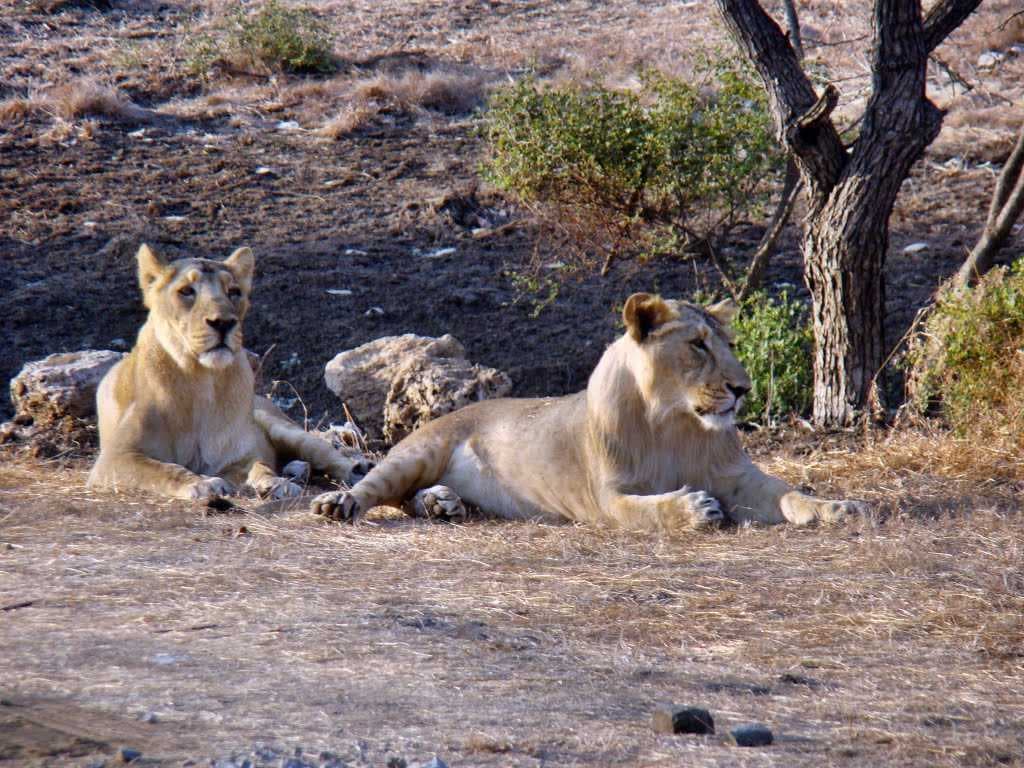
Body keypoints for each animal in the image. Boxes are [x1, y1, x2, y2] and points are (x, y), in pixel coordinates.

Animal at [87, 244, 369, 501]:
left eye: (233, 292)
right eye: (186, 291)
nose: (223, 322)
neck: (200, 380)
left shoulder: (241, 455)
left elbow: (260, 465)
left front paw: (275, 483)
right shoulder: (114, 459)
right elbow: (164, 469)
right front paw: (202, 484)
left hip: (280, 426)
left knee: (327, 455)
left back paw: (350, 472)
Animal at [310, 293, 866, 530]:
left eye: (727, 343)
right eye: (697, 345)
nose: (742, 388)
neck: (673, 422)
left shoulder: (738, 477)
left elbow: (789, 493)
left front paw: (837, 508)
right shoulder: (606, 498)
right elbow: (650, 510)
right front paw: (693, 509)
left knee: (408, 499)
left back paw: (442, 504)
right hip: (419, 451)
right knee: (377, 487)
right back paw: (341, 504)